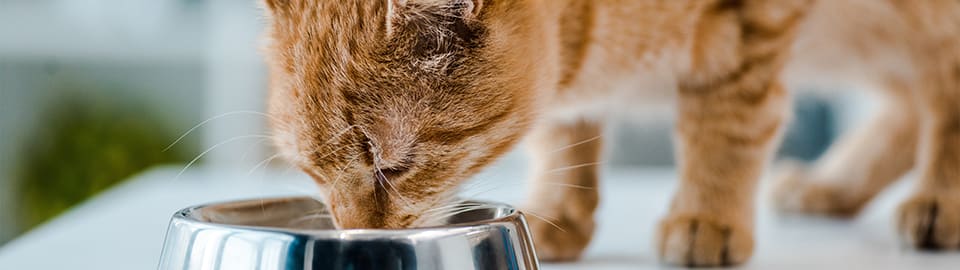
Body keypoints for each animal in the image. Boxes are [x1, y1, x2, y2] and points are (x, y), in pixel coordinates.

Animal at [262, 0, 960, 266]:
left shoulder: (750, 28)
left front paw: (707, 214)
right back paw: (832, 186)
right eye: (312, 172)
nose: (357, 235)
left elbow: (725, 126)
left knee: (940, 90)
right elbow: (562, 127)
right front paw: (555, 209)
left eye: (393, 167)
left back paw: (938, 202)